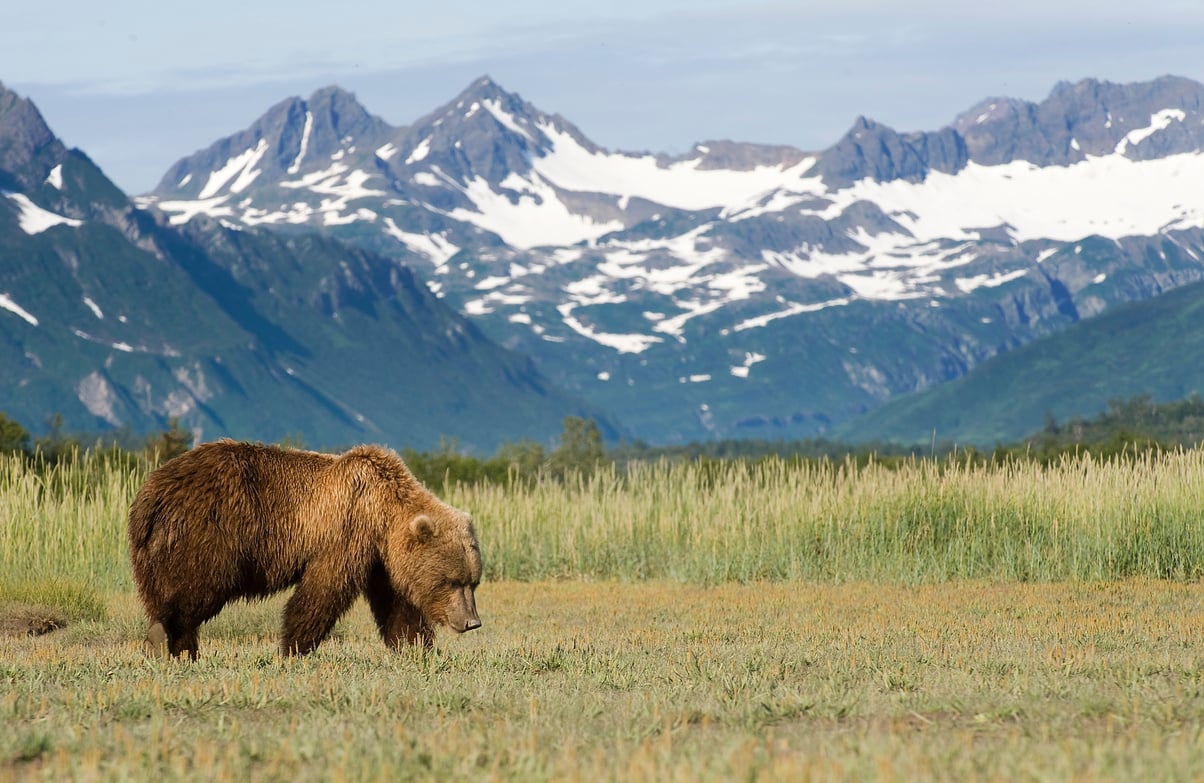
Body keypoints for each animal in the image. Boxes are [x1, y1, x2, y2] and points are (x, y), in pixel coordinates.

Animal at [124, 436, 476, 655]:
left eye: (473, 582)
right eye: (453, 581)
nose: (472, 622)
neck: (383, 512)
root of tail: (151, 493)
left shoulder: (381, 560)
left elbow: (397, 605)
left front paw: (417, 647)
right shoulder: (346, 531)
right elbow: (322, 590)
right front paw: (293, 647)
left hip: (152, 549)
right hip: (209, 534)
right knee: (195, 589)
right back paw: (168, 641)